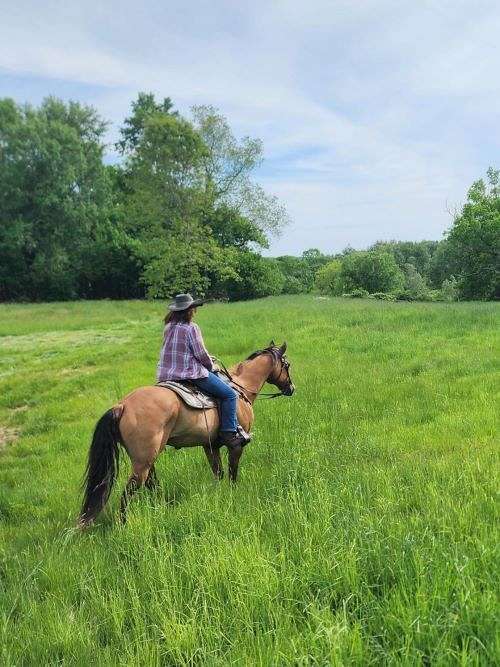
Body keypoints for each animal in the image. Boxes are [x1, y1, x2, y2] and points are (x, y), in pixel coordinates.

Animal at [78, 344, 292, 528]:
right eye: (287, 365)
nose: (291, 388)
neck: (240, 388)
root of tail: (122, 406)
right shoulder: (236, 445)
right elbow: (232, 472)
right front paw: (233, 494)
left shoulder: (210, 446)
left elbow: (218, 473)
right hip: (143, 462)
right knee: (130, 491)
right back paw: (124, 524)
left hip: (146, 459)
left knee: (151, 483)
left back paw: (161, 509)